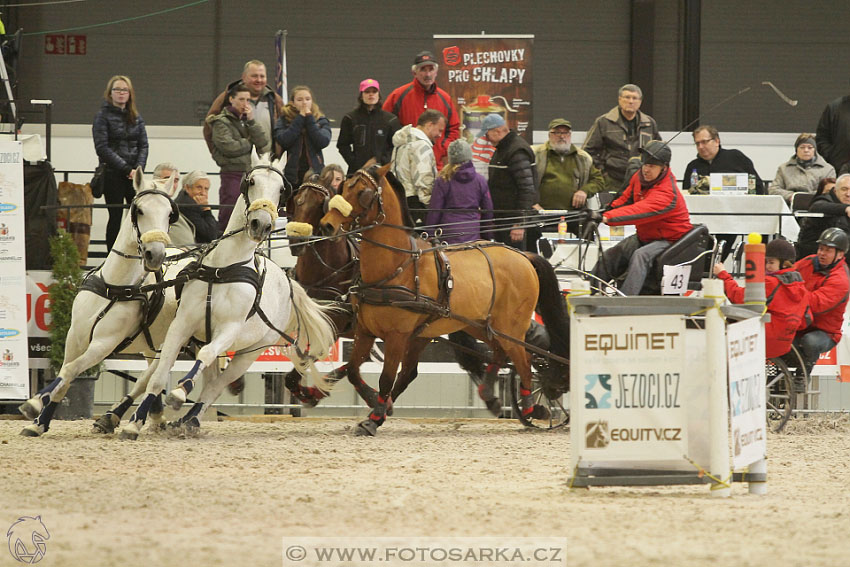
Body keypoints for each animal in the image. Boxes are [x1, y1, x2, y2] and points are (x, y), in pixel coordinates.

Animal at [19, 166, 181, 438]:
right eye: (139, 210)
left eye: (170, 214)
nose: (155, 255)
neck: (113, 286)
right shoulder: (75, 336)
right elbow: (64, 375)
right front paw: (38, 423)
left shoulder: (104, 344)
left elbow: (70, 370)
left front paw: (33, 404)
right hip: (154, 343)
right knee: (150, 374)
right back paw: (136, 416)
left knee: (150, 376)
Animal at [117, 151, 336, 440]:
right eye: (251, 181)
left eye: (281, 189)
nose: (261, 224)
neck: (224, 268)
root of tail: (287, 280)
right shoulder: (182, 325)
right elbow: (157, 376)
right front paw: (133, 423)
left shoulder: (229, 331)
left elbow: (206, 356)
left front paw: (179, 392)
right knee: (210, 378)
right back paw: (184, 420)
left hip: (251, 352)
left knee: (217, 384)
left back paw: (189, 417)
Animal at [320, 162, 568, 438]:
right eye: (344, 187)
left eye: (363, 192)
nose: (327, 224)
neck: (399, 266)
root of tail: (523, 255)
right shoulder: (365, 330)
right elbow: (353, 371)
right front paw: (376, 404)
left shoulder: (397, 336)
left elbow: (385, 378)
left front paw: (374, 417)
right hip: (479, 325)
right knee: (499, 353)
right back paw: (490, 395)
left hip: (511, 327)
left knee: (524, 361)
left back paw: (534, 408)